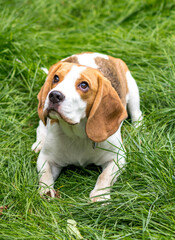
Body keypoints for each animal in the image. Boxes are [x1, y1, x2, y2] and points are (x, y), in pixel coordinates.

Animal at [31, 52, 142, 202]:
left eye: (84, 85)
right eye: (56, 78)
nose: (54, 95)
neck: (77, 135)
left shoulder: (118, 157)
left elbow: (104, 176)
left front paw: (100, 195)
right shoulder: (46, 158)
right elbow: (45, 175)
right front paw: (46, 191)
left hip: (133, 91)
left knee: (137, 115)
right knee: (41, 126)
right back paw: (39, 142)